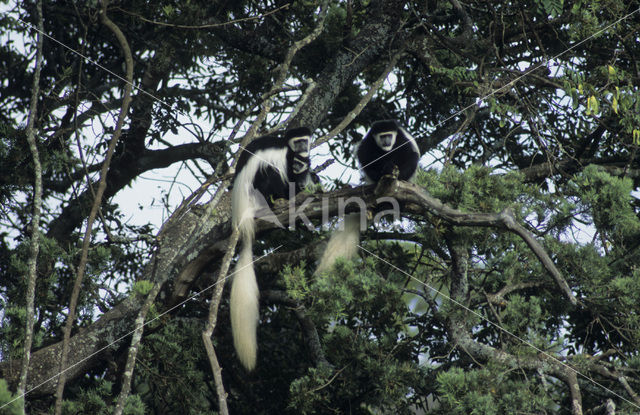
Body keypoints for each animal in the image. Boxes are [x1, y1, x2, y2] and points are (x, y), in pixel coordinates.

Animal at [231, 127, 312, 370]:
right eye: (298, 141)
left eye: (305, 141)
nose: (303, 147)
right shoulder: (286, 160)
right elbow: (287, 177)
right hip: (257, 187)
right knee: (271, 175)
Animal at [316, 119, 420, 276]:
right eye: (382, 136)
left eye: (389, 135)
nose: (387, 141)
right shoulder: (368, 144)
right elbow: (366, 159)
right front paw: (385, 169)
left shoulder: (402, 140)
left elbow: (409, 155)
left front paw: (397, 172)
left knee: (411, 157)